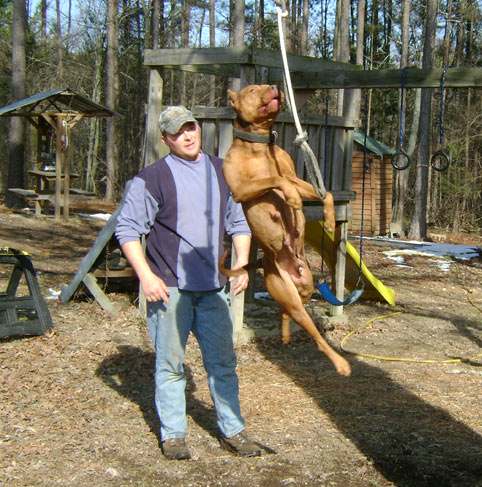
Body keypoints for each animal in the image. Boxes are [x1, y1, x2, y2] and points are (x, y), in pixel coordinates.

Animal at [221, 85, 350, 378]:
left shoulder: (297, 178)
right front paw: (290, 198)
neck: (258, 146)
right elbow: (275, 180)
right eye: (252, 88)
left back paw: (286, 335)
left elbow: (323, 193)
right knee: (315, 335)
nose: (275, 86)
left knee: (287, 313)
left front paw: (328, 220)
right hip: (289, 295)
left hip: (305, 288)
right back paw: (340, 363)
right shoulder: (242, 189)